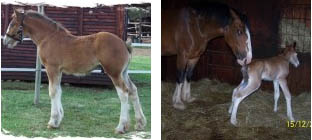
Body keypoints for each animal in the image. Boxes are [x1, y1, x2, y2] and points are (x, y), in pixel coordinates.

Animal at [2, 8, 146, 133]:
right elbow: (59, 91)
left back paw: (121, 127)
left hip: (114, 73)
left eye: (13, 23)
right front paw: (59, 119)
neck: (48, 37)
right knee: (133, 90)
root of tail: (124, 44)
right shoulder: (59, 71)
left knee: (124, 93)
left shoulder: (52, 68)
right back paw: (139, 123)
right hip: (124, 73)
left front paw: (52, 122)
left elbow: (52, 92)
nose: (5, 40)